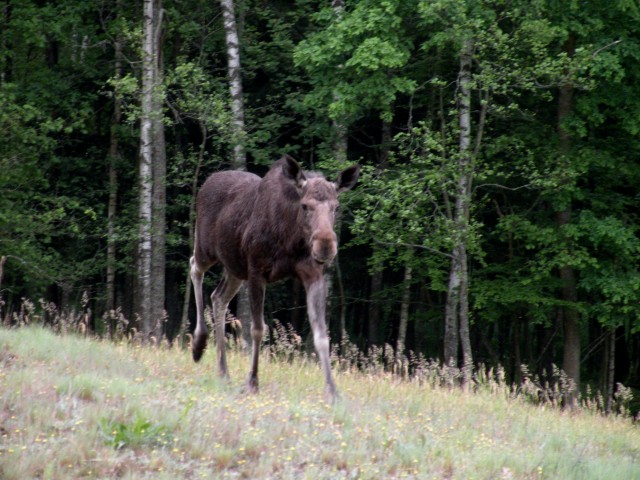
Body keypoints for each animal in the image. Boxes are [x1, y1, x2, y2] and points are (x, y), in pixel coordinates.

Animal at [190, 156, 360, 400]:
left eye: (336, 207)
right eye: (305, 205)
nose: (325, 246)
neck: (291, 237)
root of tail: (206, 183)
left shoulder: (313, 274)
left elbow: (321, 335)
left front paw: (332, 391)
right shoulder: (256, 271)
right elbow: (257, 329)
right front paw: (252, 382)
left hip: (234, 268)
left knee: (218, 297)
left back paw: (223, 371)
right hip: (206, 250)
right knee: (194, 268)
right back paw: (198, 343)